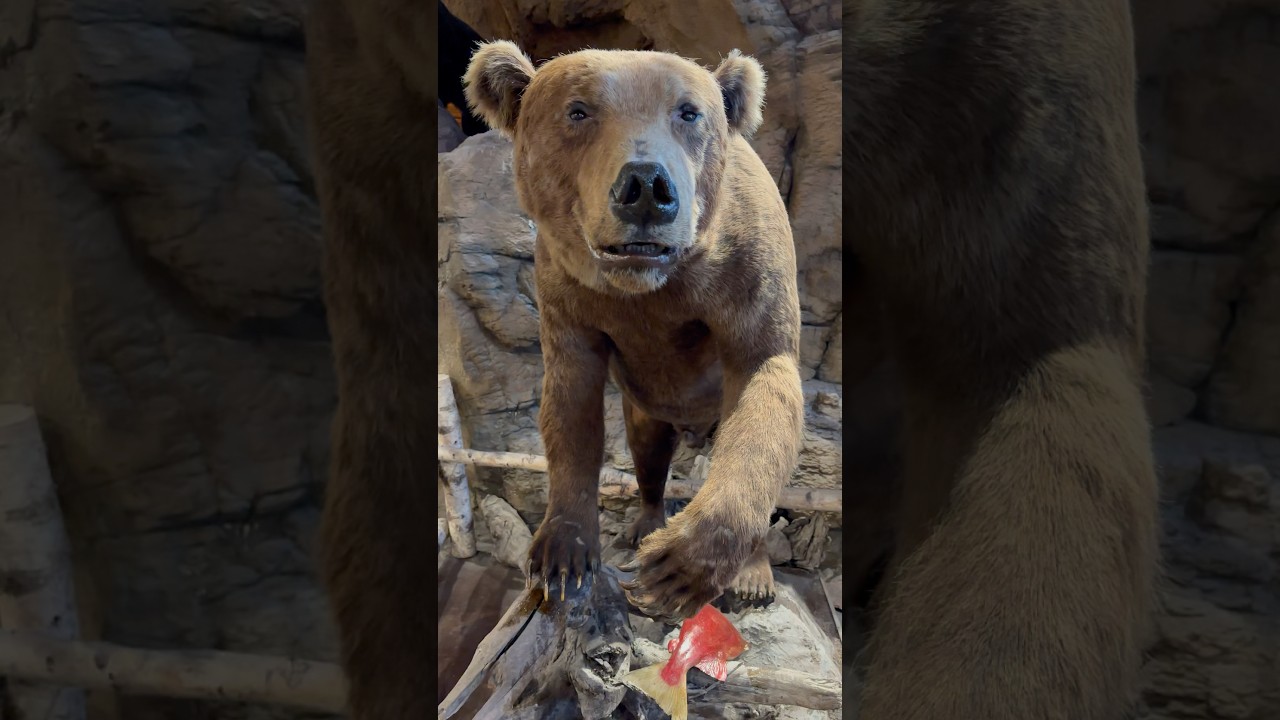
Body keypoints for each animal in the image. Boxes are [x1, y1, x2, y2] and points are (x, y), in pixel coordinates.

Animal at [464, 42, 806, 620]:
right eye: (578, 110)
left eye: (689, 112)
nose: (646, 186)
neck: (651, 284)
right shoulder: (568, 293)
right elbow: (570, 407)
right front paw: (562, 555)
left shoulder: (746, 271)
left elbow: (765, 381)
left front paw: (676, 566)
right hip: (649, 401)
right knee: (647, 450)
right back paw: (645, 520)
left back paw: (753, 574)